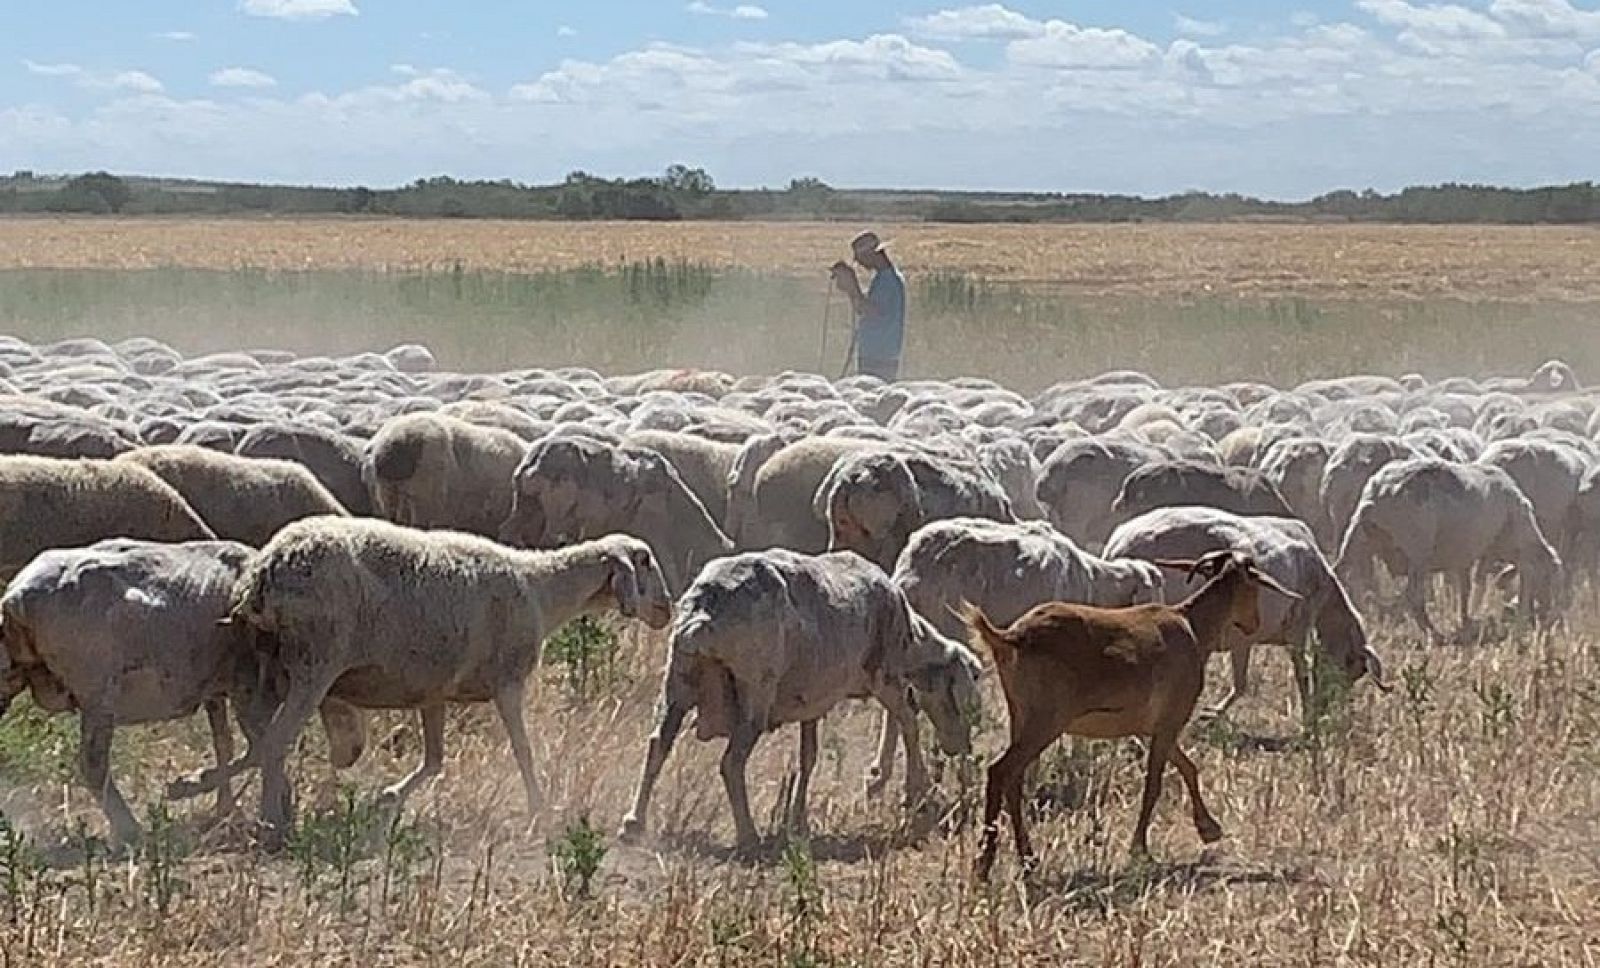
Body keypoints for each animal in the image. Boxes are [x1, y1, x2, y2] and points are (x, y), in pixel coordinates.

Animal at [617, 547, 979, 851]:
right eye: (958, 701)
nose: (960, 748)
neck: (911, 640)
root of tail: (702, 614)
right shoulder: (885, 677)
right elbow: (908, 723)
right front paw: (919, 793)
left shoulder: (812, 699)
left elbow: (809, 757)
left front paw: (798, 821)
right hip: (755, 692)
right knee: (731, 763)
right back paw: (748, 836)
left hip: (677, 683)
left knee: (658, 745)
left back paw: (633, 824)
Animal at [960, 550, 1299, 876]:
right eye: (1254, 587)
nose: (1254, 623)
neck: (1192, 627)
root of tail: (1011, 637)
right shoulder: (1172, 718)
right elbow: (1154, 783)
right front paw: (1141, 849)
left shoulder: (1150, 726)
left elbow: (1188, 767)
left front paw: (1209, 829)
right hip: (1045, 720)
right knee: (1000, 771)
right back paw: (985, 863)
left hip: (1020, 715)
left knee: (1013, 780)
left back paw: (1026, 859)